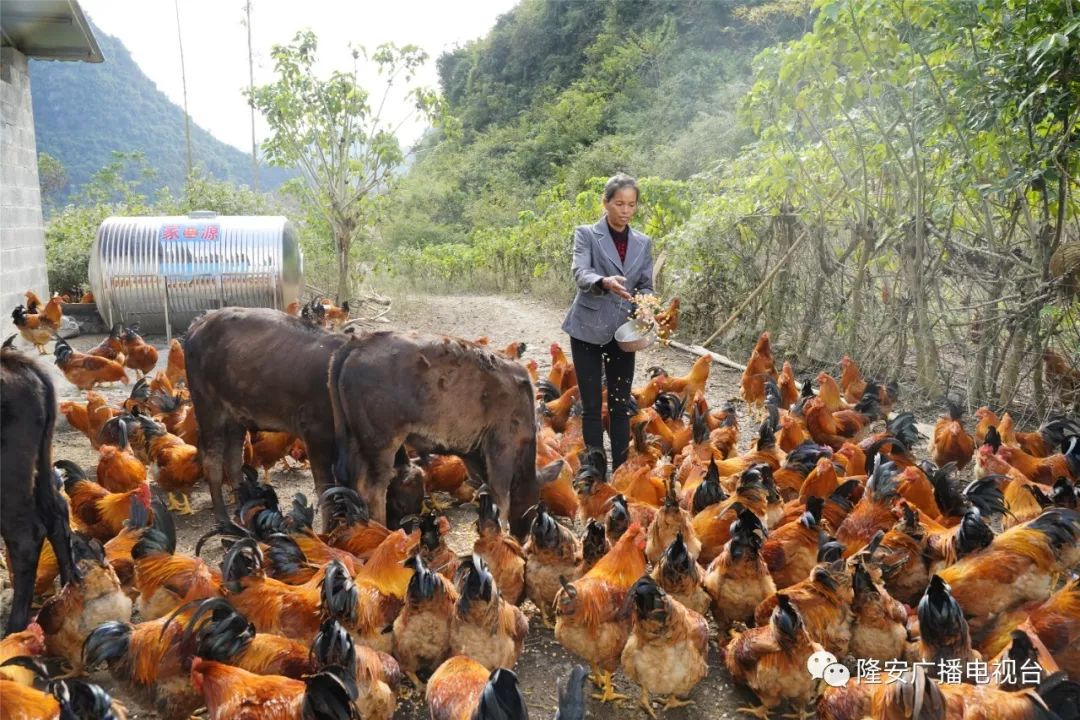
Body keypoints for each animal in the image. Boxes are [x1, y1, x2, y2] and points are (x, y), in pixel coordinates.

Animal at [324, 332, 535, 539]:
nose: (523, 535)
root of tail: (359, 344)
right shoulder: (501, 449)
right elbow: (500, 497)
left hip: (352, 438)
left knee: (346, 478)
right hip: (382, 445)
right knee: (373, 488)